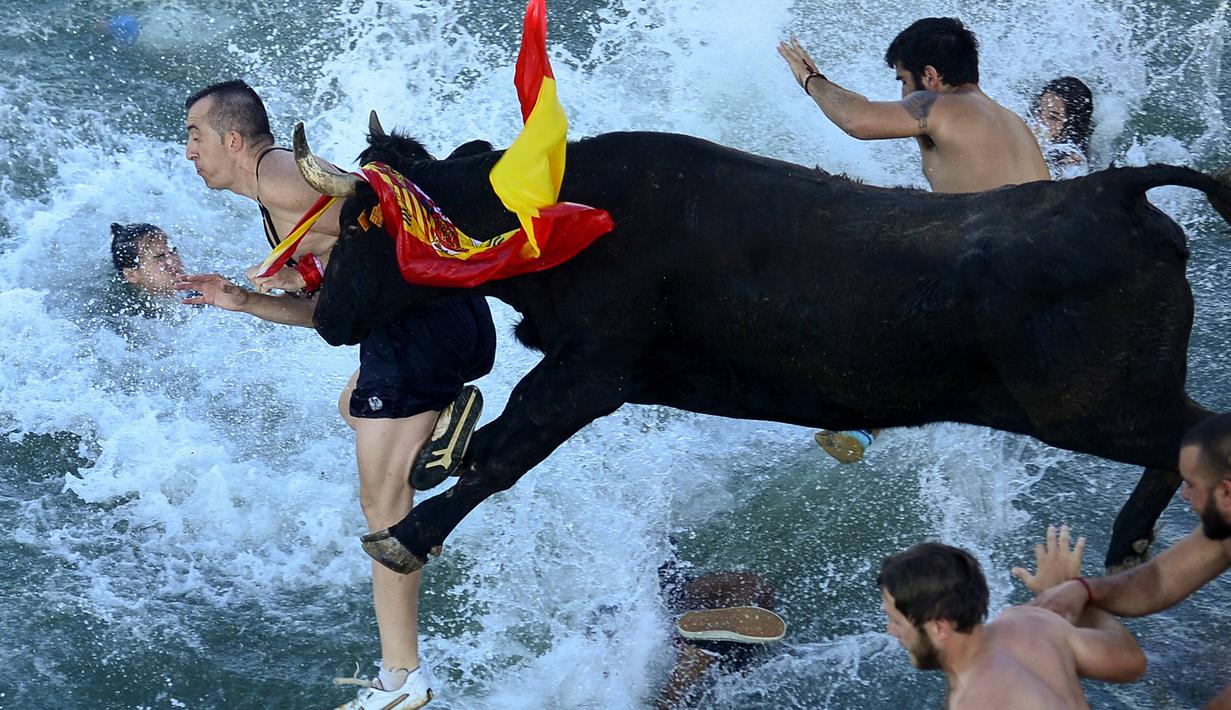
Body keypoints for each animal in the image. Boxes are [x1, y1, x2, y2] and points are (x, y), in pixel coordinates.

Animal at [293, 113, 1231, 575]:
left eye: (363, 226)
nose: (327, 317)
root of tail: (1114, 192)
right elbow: (487, 443)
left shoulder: (594, 371)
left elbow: (502, 452)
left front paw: (406, 535)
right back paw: (1128, 542)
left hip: (1091, 404)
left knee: (1200, 431)